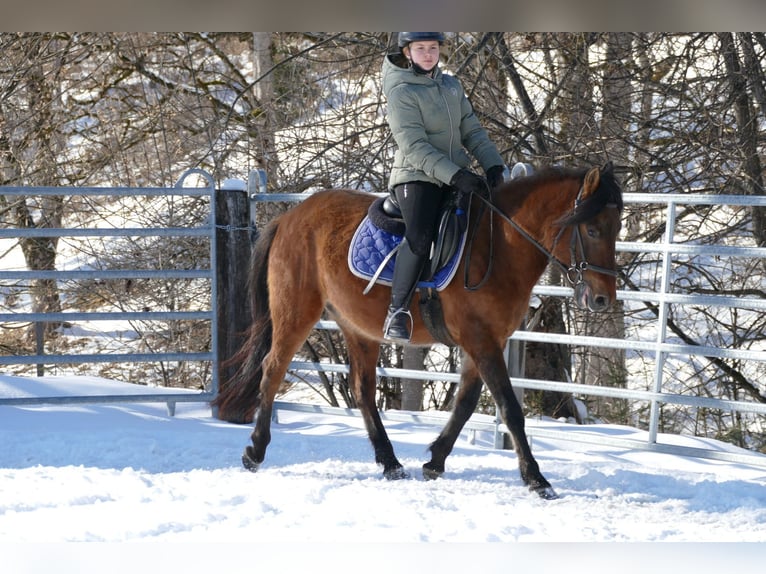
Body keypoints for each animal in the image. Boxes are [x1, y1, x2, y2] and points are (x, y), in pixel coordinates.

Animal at [214, 161, 624, 500]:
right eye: (591, 229)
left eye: (617, 227)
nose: (602, 298)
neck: (499, 246)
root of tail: (289, 217)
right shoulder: (481, 341)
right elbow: (510, 409)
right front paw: (537, 479)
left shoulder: (483, 342)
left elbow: (465, 404)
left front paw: (435, 461)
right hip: (296, 312)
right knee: (273, 369)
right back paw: (255, 450)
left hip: (357, 326)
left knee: (362, 390)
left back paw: (391, 462)